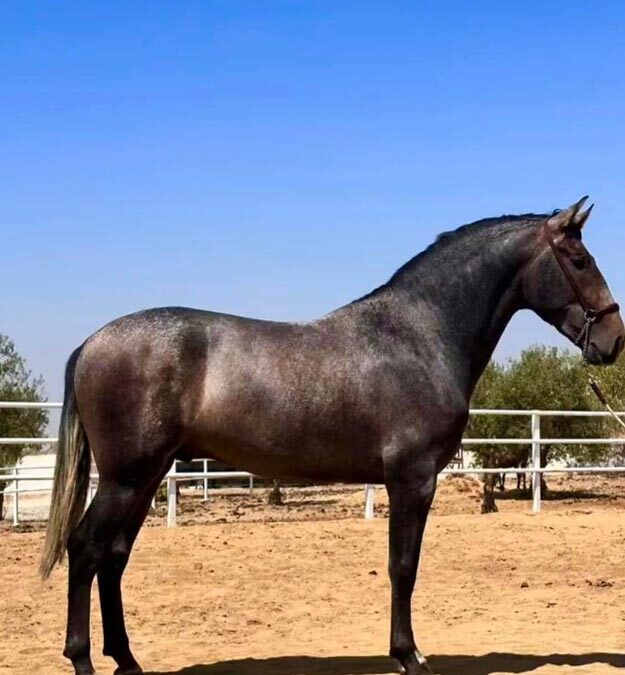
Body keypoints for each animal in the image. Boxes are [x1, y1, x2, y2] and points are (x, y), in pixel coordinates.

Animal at [40, 197, 623, 675]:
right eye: (579, 261)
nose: (614, 339)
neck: (420, 336)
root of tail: (91, 343)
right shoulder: (413, 480)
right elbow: (403, 567)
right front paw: (409, 656)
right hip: (126, 478)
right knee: (86, 549)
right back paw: (83, 659)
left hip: (146, 478)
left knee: (114, 556)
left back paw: (127, 660)